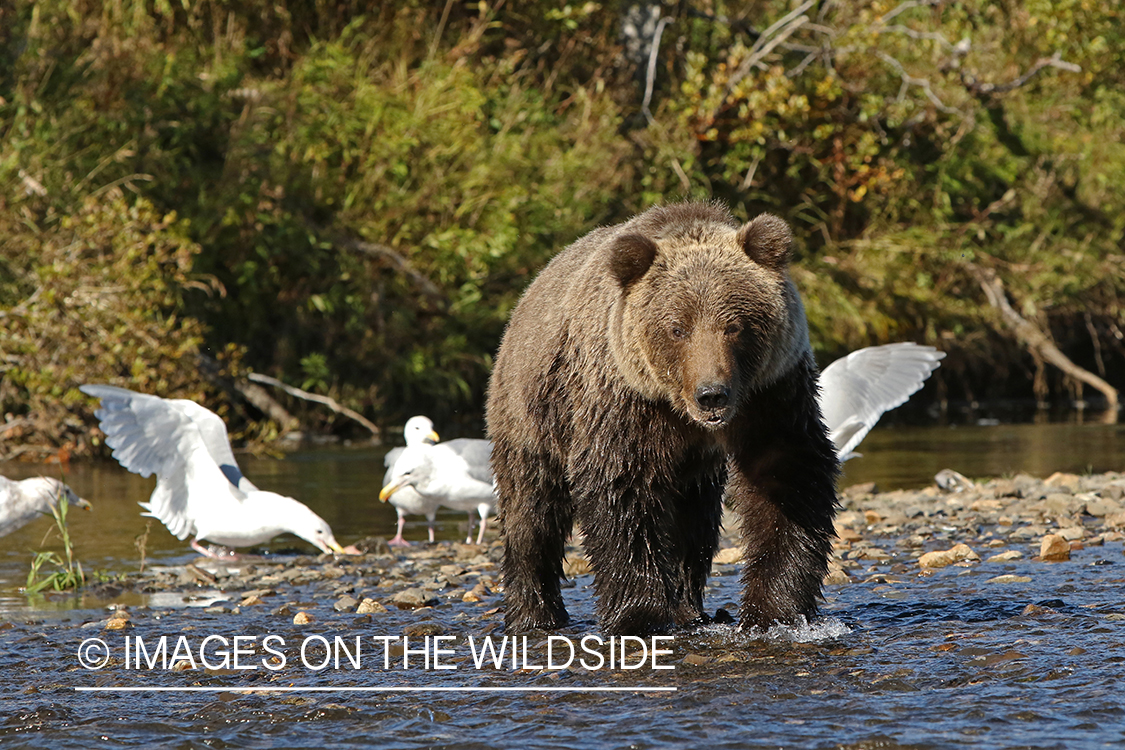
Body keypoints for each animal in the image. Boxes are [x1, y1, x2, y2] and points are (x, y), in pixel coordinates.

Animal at [483, 202, 837, 638]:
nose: (711, 394)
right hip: (533, 412)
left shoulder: (771, 395)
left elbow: (787, 478)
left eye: (735, 325)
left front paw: (775, 611)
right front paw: (640, 615)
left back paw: (688, 608)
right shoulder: (625, 402)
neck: (680, 410)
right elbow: (623, 492)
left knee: (695, 522)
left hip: (693, 470)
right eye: (677, 328)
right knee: (531, 513)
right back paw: (533, 614)